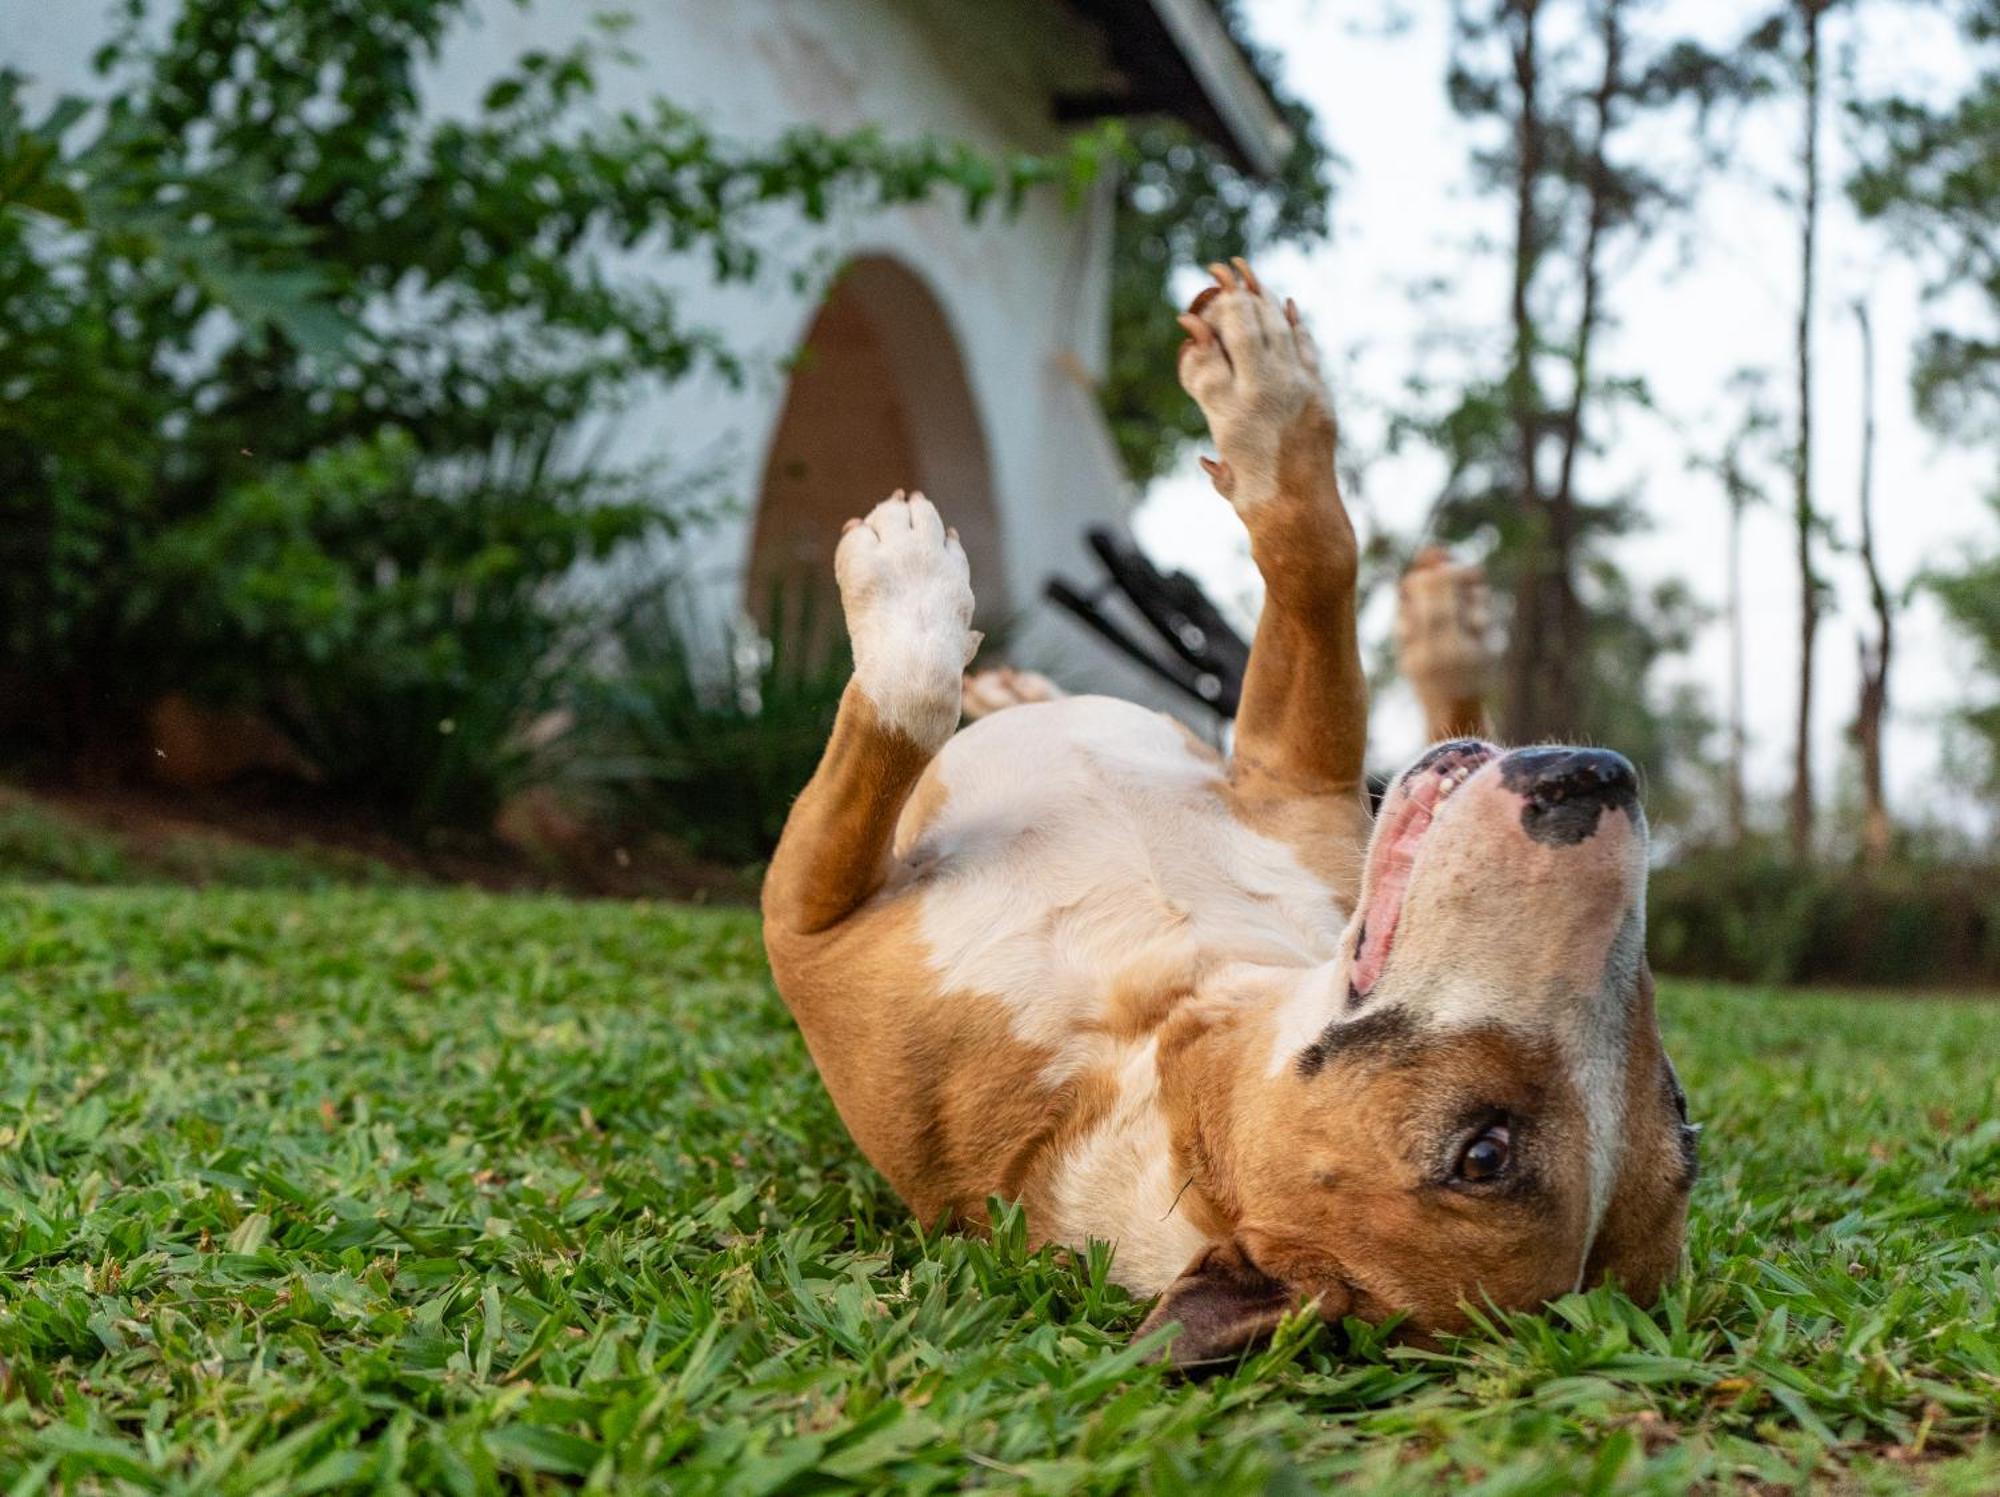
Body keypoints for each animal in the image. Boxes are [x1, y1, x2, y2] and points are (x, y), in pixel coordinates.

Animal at [756, 260, 1696, 1368]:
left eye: (1481, 1154)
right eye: (1685, 1109)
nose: (1599, 784)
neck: (1153, 1025)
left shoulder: (806, 922)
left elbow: (902, 702)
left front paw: (906, 584)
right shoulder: (1295, 784)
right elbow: (1315, 554)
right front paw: (1270, 394)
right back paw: (1440, 626)